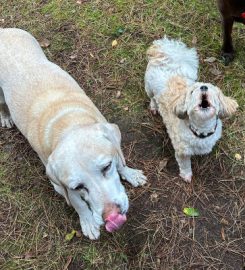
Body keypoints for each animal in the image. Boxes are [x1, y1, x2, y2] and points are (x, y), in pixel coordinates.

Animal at [0, 28, 146, 239]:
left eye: (106, 167)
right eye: (78, 187)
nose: (112, 216)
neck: (68, 124)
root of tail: (3, 30)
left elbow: (120, 161)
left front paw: (131, 174)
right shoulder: (61, 187)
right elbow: (79, 204)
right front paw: (88, 222)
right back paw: (5, 117)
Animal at [145, 37, 238, 182]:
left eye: (211, 90)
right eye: (192, 91)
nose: (204, 87)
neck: (201, 131)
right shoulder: (182, 152)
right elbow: (185, 165)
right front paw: (186, 175)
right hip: (149, 88)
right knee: (152, 98)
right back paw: (154, 107)